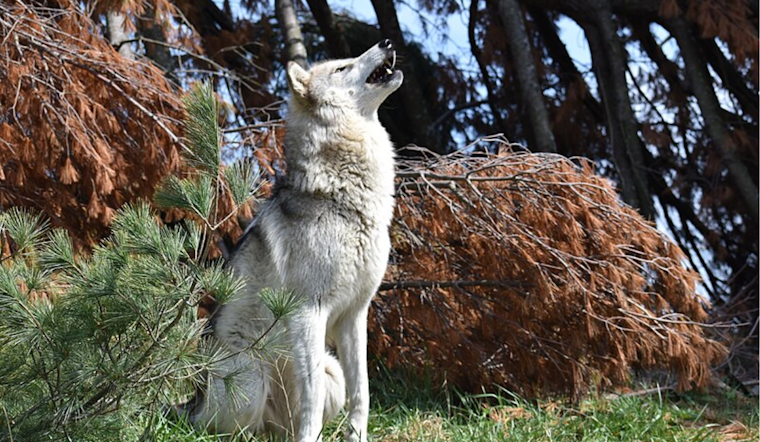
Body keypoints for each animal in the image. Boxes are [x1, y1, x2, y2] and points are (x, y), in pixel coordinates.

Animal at [185, 40, 403, 442]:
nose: (387, 42)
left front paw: (357, 436)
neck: (344, 198)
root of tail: (191, 404)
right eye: (342, 68)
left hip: (331, 373)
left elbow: (362, 391)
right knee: (224, 430)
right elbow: (311, 398)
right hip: (250, 381)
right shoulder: (307, 313)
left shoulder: (354, 315)